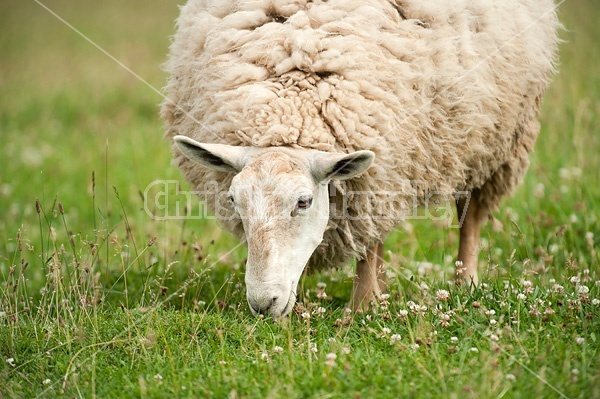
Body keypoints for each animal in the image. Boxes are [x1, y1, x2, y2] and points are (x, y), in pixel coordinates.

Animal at [162, 0, 560, 318]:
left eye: (303, 202)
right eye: (234, 200)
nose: (262, 304)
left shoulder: (381, 170)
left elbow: (368, 240)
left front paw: (362, 306)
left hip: (497, 138)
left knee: (471, 214)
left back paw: (465, 282)